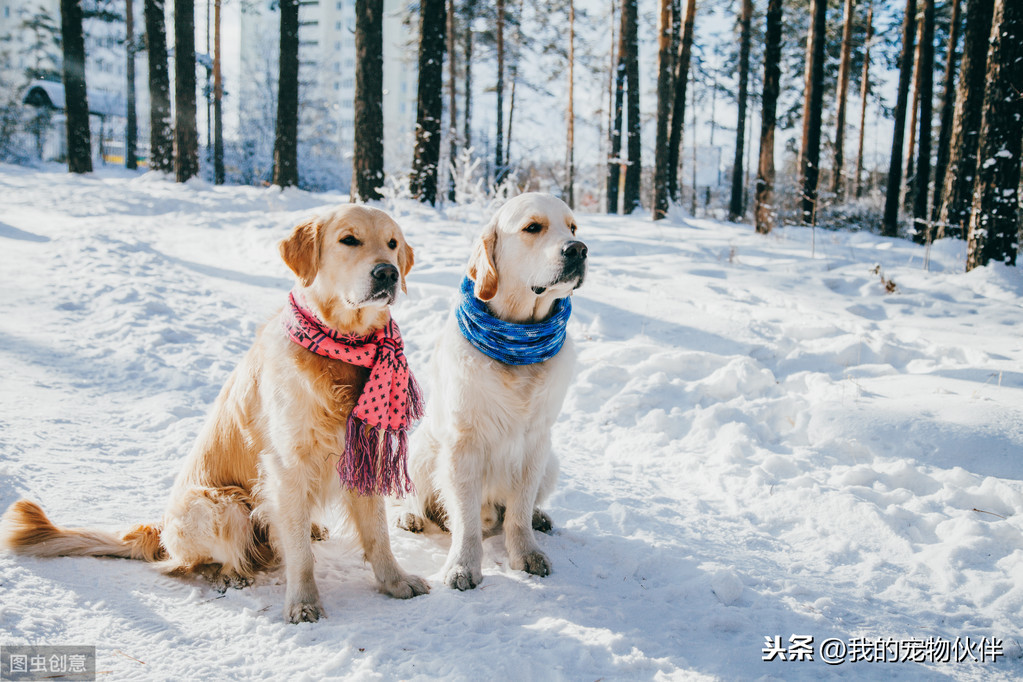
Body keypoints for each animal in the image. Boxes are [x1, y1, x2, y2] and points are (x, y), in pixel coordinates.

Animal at [0, 206, 429, 625]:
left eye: (392, 244)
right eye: (349, 240)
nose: (388, 273)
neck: (341, 346)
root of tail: (158, 528)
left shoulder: (363, 453)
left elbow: (377, 534)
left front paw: (395, 581)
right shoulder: (287, 465)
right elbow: (300, 553)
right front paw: (303, 602)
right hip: (222, 505)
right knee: (196, 562)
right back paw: (232, 575)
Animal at [401, 193, 593, 593]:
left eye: (573, 227)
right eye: (532, 227)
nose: (578, 249)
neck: (518, 342)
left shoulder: (536, 441)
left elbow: (517, 510)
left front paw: (526, 552)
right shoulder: (463, 444)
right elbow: (466, 519)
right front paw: (462, 566)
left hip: (552, 461)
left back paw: (539, 517)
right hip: (421, 449)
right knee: (415, 495)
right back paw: (411, 517)